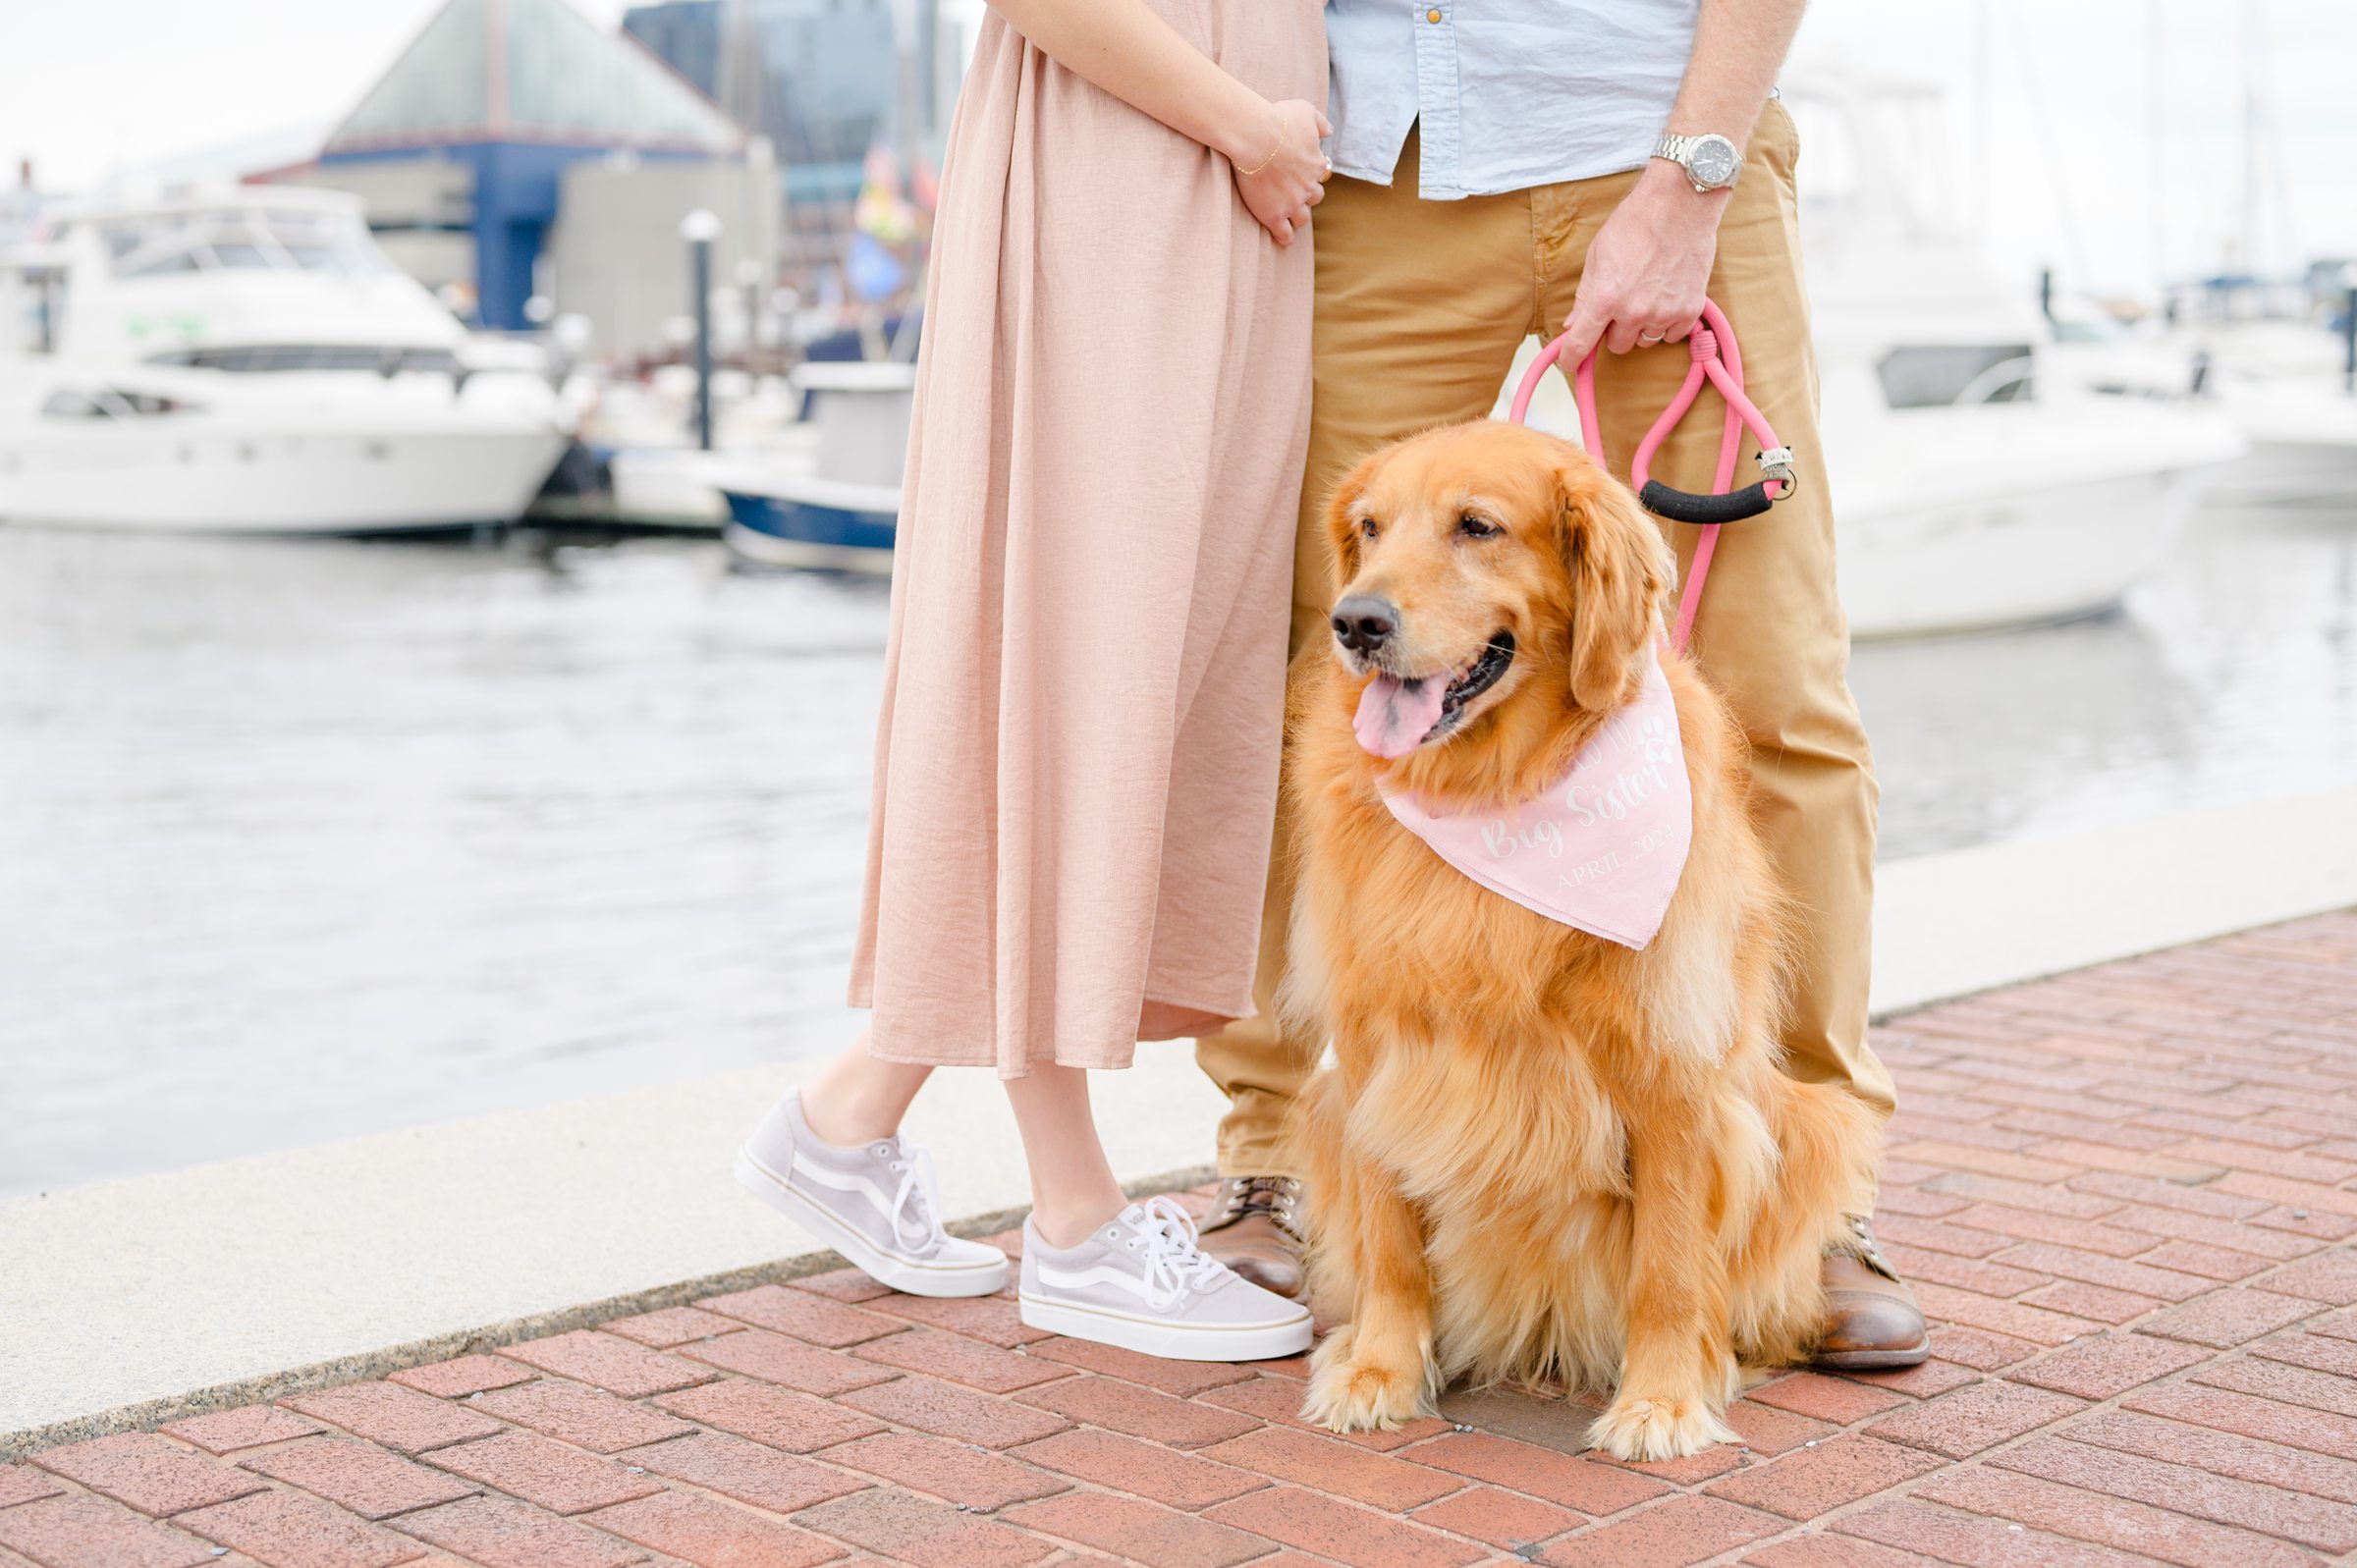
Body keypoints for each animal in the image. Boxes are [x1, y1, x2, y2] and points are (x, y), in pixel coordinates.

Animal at [1291, 412, 1876, 1452]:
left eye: (1476, 526)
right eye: (1368, 528)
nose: (1355, 622)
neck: (1495, 790)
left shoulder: (1671, 1061)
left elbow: (1669, 1264)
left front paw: (1663, 1399)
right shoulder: (1370, 1051)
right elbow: (1391, 1239)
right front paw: (1378, 1368)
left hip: (1810, 1119)